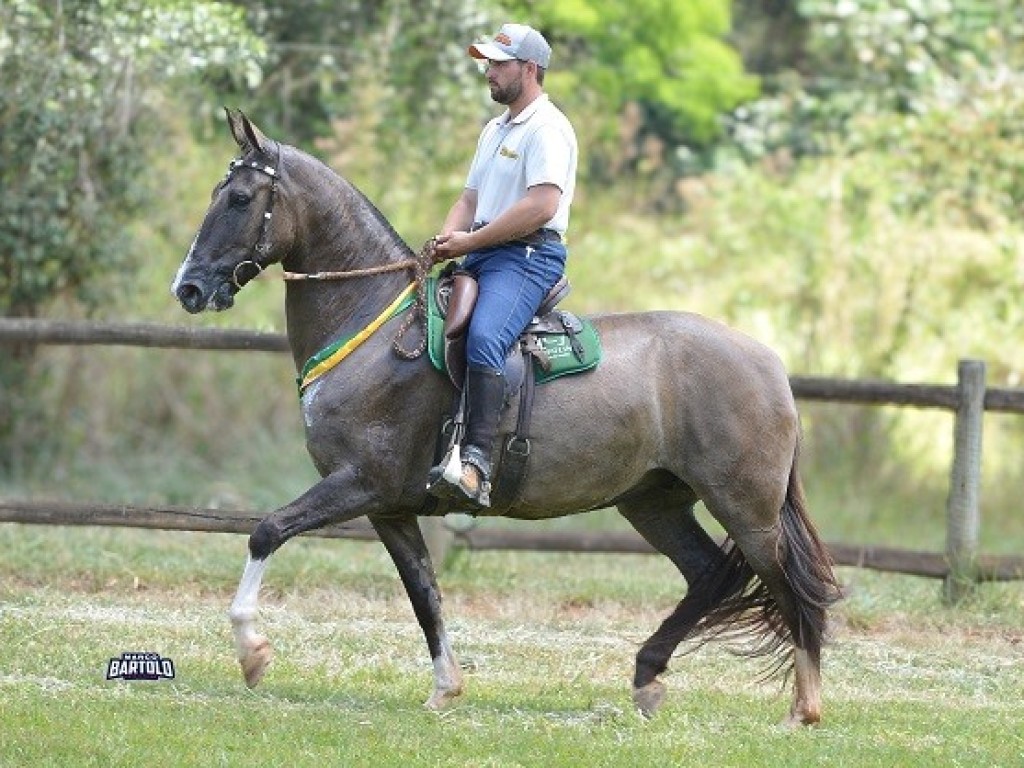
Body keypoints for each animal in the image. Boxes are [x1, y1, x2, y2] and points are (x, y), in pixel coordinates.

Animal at [171, 109, 841, 726]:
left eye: (238, 198)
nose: (189, 289)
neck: (375, 329)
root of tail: (769, 364)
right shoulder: (390, 508)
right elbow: (424, 593)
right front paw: (445, 687)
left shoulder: (360, 483)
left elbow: (267, 531)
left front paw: (252, 653)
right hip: (654, 502)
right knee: (709, 575)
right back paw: (649, 677)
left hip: (747, 511)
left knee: (790, 588)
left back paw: (803, 709)